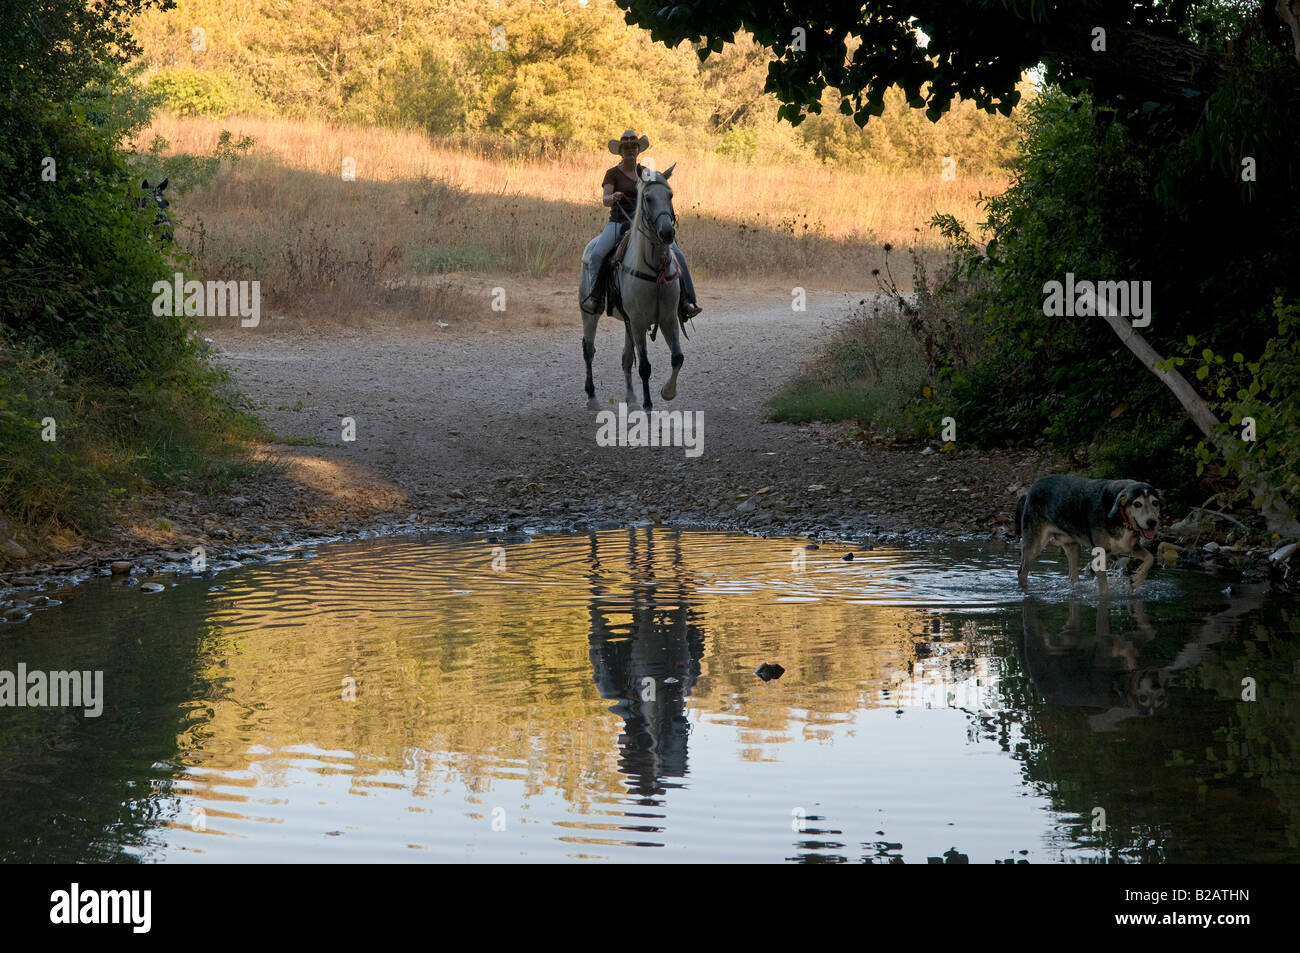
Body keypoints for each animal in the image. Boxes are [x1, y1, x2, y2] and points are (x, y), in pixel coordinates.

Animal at [579, 164, 684, 412]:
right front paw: (648, 404)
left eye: (670, 195)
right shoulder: (638, 321)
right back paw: (592, 397)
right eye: (647, 197)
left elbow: (677, 357)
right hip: (591, 314)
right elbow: (644, 366)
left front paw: (667, 392)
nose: (667, 232)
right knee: (589, 350)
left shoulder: (668, 318)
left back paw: (631, 398)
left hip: (628, 323)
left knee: (626, 358)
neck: (655, 270)